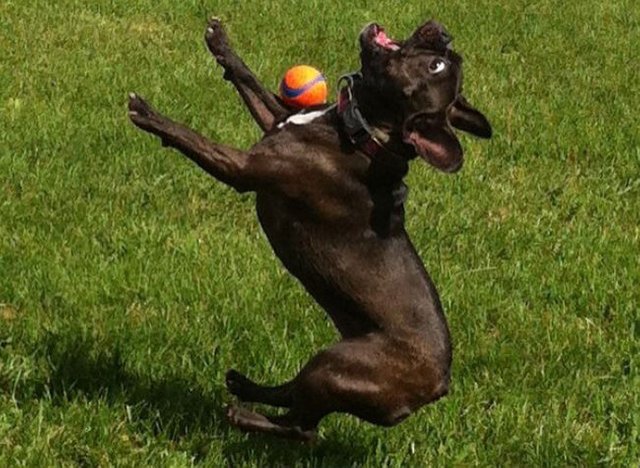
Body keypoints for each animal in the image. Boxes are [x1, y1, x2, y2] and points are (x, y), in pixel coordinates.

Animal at [127, 17, 492, 442]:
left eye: (437, 67)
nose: (445, 35)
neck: (362, 133)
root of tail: (440, 385)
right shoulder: (275, 121)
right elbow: (251, 82)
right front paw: (221, 44)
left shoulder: (242, 167)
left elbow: (194, 138)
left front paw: (149, 114)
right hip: (330, 364)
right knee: (294, 398)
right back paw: (245, 386)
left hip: (336, 366)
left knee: (302, 428)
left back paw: (243, 414)